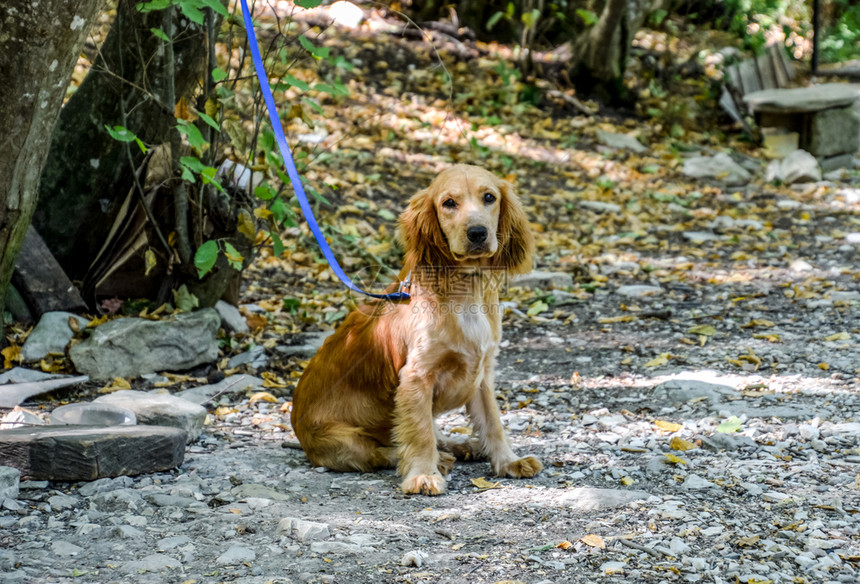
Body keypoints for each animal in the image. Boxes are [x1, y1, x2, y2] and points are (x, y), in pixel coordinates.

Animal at [292, 164, 540, 492]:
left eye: (489, 197)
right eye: (449, 203)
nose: (477, 233)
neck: (465, 291)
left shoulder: (483, 373)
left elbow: (493, 422)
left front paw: (509, 461)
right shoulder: (416, 377)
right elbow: (419, 433)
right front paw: (424, 474)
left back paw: (460, 446)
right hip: (341, 440)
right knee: (380, 452)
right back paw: (440, 458)